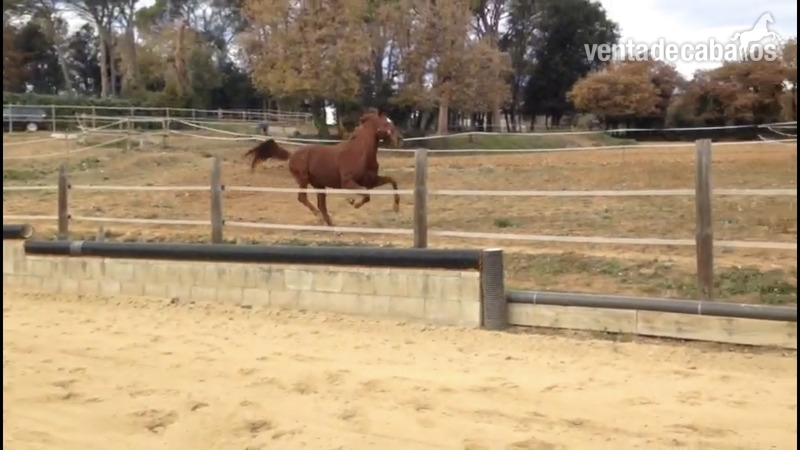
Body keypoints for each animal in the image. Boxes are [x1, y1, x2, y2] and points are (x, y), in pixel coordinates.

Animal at [242, 111, 402, 227]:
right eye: (386, 123)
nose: (400, 139)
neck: (359, 153)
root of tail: (292, 155)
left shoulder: (371, 181)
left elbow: (392, 181)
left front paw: (396, 208)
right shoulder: (347, 182)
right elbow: (366, 195)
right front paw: (353, 202)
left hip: (319, 185)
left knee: (321, 204)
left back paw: (330, 223)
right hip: (303, 179)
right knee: (303, 198)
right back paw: (320, 218)